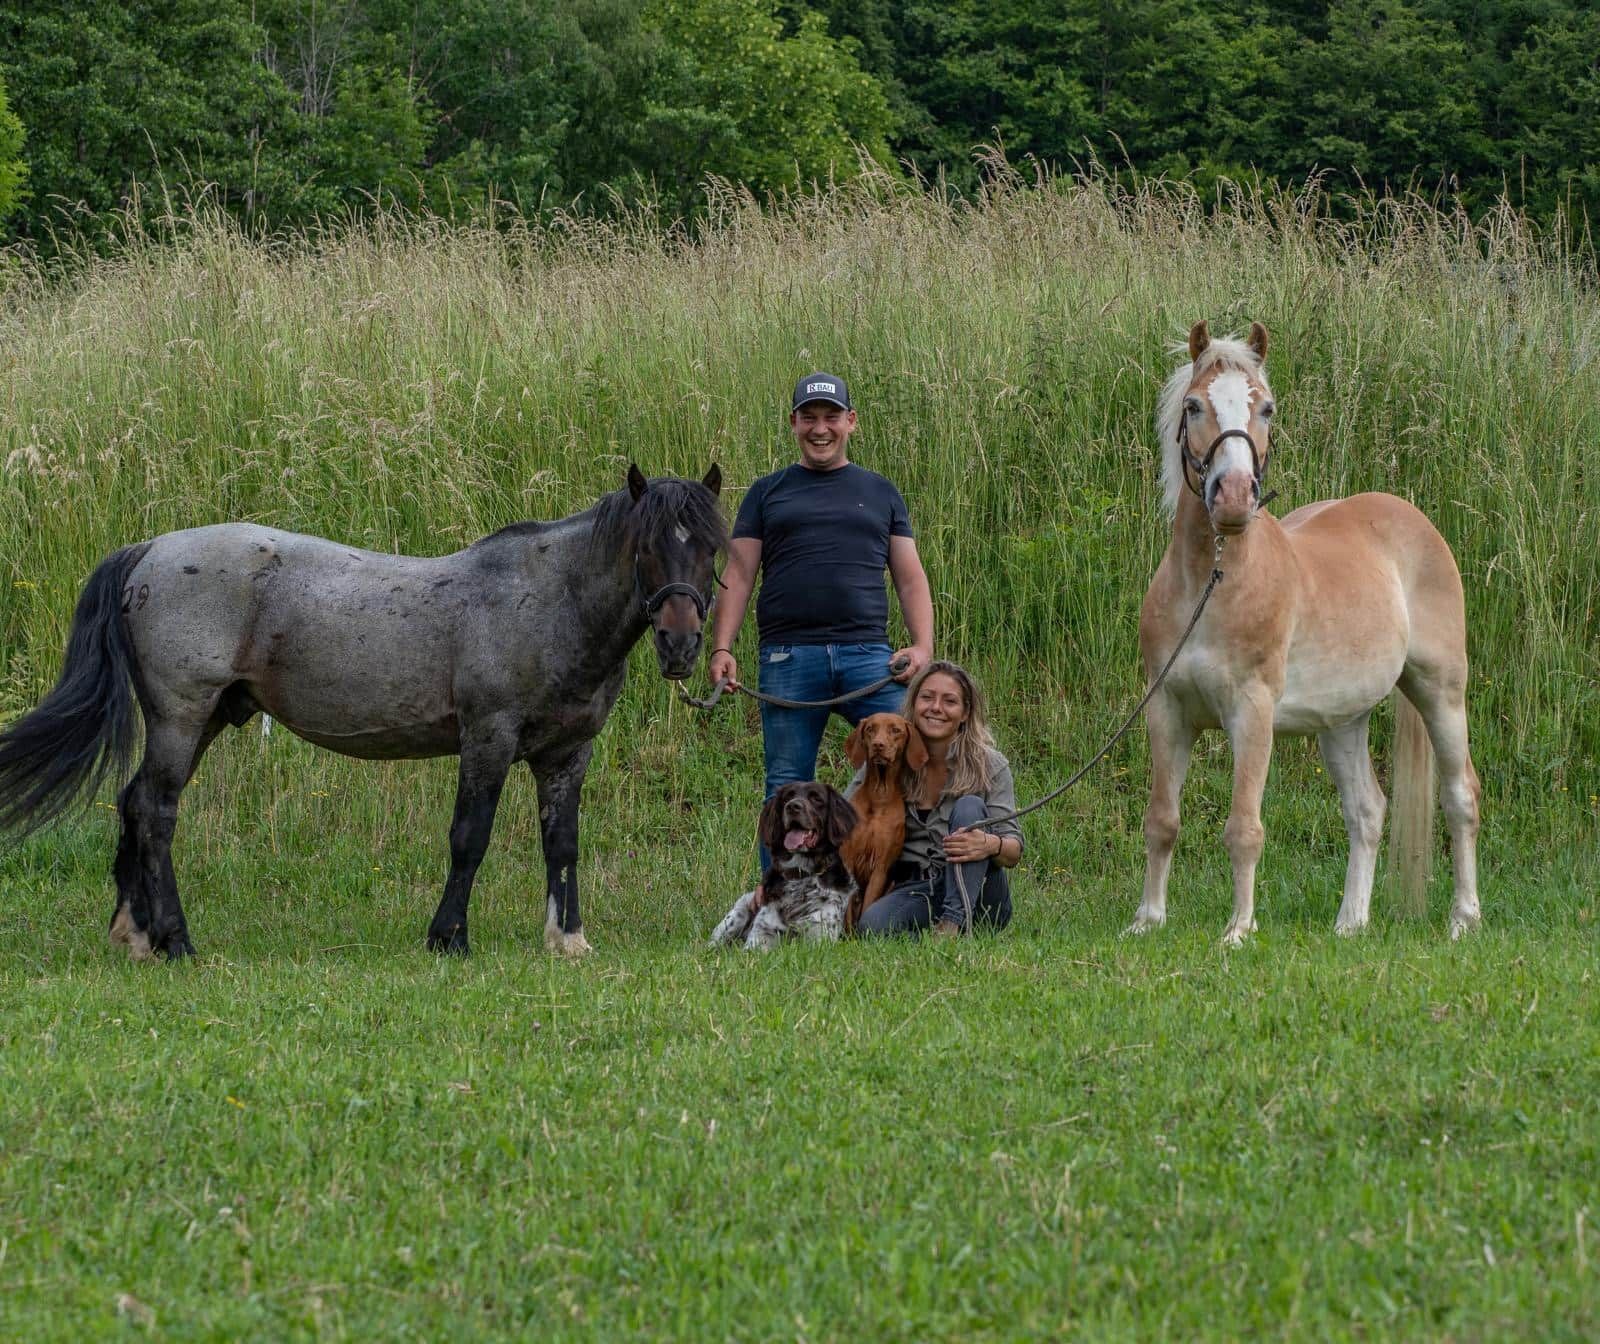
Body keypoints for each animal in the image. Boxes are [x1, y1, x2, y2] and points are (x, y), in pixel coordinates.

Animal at [0, 465, 727, 960]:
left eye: (710, 548)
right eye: (646, 547)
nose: (682, 643)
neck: (551, 603)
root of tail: (149, 550)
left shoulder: (566, 754)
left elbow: (563, 842)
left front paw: (567, 938)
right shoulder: (487, 738)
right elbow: (470, 837)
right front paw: (448, 937)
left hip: (203, 720)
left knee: (133, 803)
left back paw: (135, 934)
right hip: (182, 718)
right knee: (155, 811)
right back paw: (175, 940)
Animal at [1132, 321, 1481, 946]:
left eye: (1266, 407)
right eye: (1194, 405)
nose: (1234, 496)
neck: (1211, 582)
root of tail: (1412, 520)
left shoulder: (1251, 712)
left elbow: (1243, 827)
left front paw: (1238, 930)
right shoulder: (1166, 710)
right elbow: (1162, 820)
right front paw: (1148, 920)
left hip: (1440, 691)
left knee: (1460, 795)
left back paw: (1463, 918)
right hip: (1342, 720)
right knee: (1367, 810)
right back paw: (1351, 922)